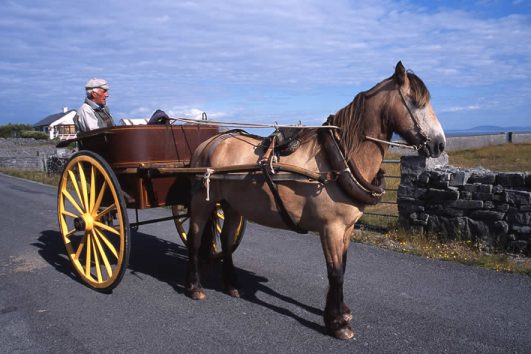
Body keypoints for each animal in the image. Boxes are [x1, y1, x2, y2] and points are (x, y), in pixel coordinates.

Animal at [183, 61, 444, 340]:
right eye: (415, 102)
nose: (440, 145)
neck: (338, 161)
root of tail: (211, 142)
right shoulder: (331, 228)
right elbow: (335, 272)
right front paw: (337, 323)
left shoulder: (347, 229)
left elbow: (343, 267)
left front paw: (340, 311)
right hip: (201, 202)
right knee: (195, 239)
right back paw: (195, 287)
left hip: (232, 206)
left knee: (227, 241)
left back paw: (231, 284)